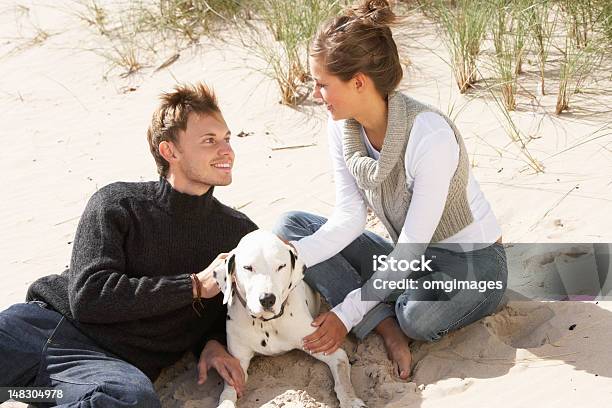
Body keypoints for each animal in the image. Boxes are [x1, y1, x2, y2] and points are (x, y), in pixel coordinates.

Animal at [213, 230, 366, 408]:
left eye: (281, 266)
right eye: (248, 267)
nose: (267, 299)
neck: (267, 323)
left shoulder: (328, 348)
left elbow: (342, 378)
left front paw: (351, 400)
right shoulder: (236, 366)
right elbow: (227, 393)